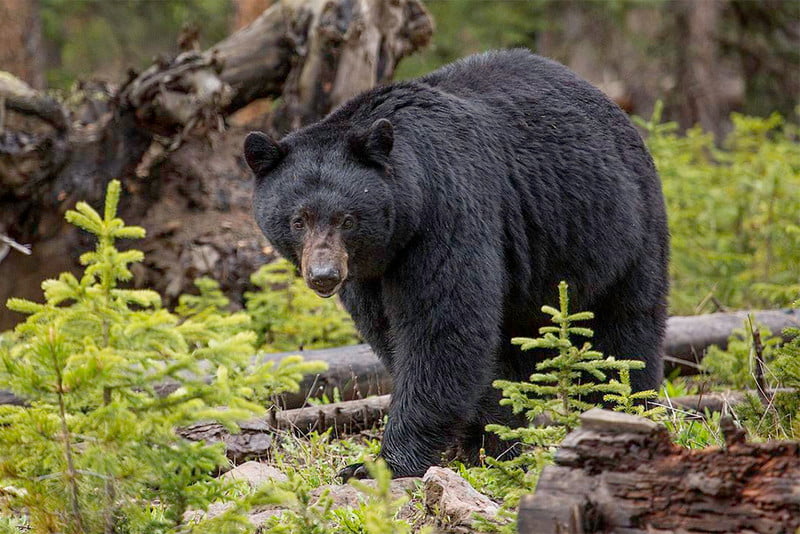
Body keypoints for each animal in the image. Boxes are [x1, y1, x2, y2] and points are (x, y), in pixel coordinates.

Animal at [242, 50, 668, 482]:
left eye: (347, 219)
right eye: (298, 219)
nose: (324, 275)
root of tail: (616, 110)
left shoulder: (448, 211)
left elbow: (442, 327)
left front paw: (382, 463)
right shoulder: (371, 271)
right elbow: (390, 331)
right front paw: (485, 440)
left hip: (620, 232)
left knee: (624, 332)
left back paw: (622, 409)